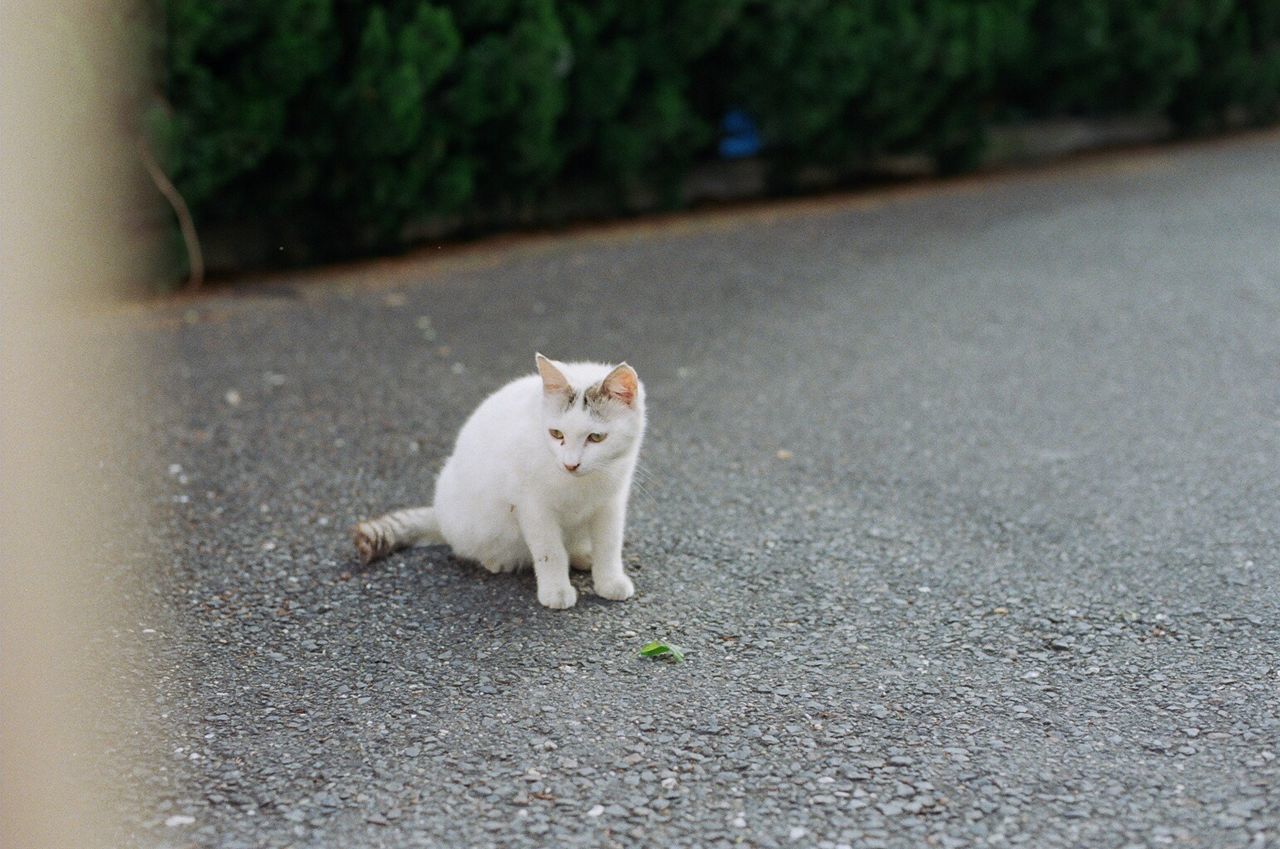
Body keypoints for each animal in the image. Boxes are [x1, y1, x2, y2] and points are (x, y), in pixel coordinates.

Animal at [353, 353, 645, 612]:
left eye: (596, 437)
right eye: (556, 434)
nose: (570, 464)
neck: (580, 483)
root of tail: (438, 513)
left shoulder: (611, 503)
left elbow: (609, 544)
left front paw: (609, 581)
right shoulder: (533, 506)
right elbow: (550, 551)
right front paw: (556, 591)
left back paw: (583, 555)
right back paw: (497, 561)